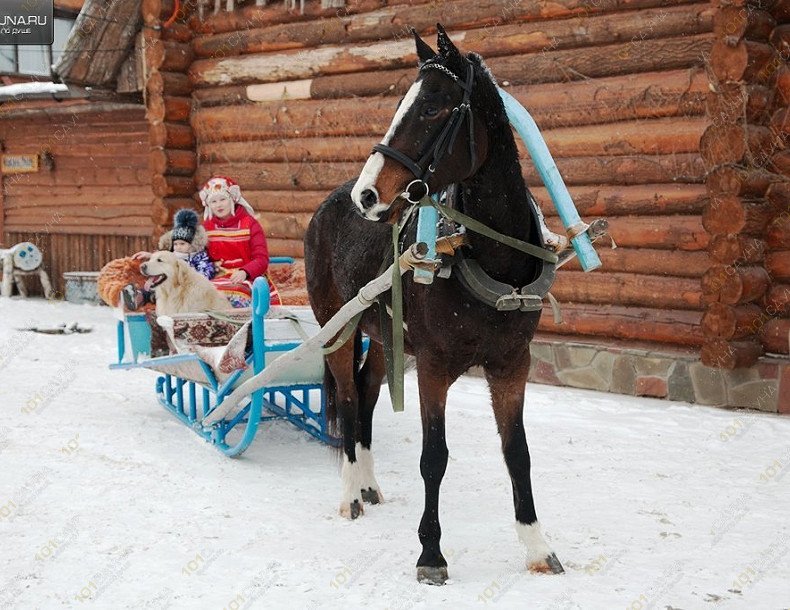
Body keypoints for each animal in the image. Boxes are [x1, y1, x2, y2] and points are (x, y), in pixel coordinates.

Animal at [304, 25, 568, 584]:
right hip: (338, 327)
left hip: (386, 336)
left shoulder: (512, 364)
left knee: (365, 392)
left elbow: (518, 453)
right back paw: (349, 493)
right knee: (345, 397)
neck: (492, 259)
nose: (367, 195)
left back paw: (368, 484)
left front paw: (536, 546)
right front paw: (430, 553)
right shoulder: (433, 365)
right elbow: (434, 458)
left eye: (431, 107)